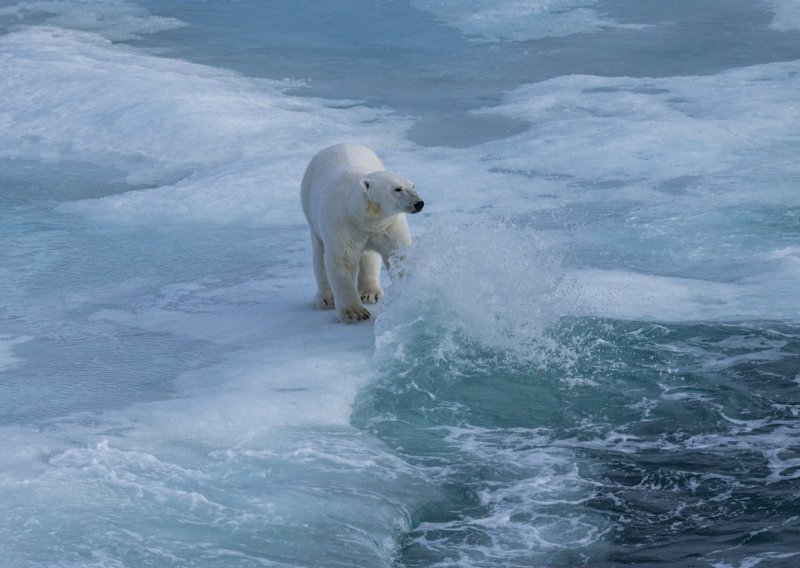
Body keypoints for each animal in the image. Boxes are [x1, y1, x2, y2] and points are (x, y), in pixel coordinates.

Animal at [302, 144, 424, 322]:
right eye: (397, 189)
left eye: (413, 186)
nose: (419, 203)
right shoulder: (342, 223)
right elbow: (342, 260)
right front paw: (354, 312)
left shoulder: (388, 225)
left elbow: (398, 253)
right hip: (311, 211)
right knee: (319, 256)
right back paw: (326, 299)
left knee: (369, 257)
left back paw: (370, 293)